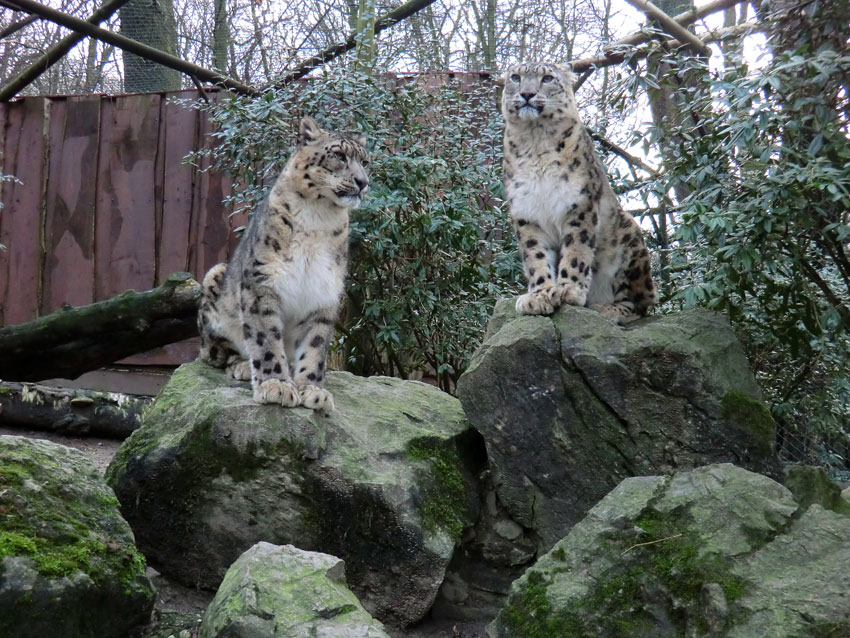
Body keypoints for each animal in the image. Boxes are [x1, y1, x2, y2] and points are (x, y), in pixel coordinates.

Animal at [199, 117, 372, 412]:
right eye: (339, 155)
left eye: (365, 161)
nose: (363, 182)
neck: (319, 218)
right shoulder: (262, 282)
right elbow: (266, 338)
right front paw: (276, 386)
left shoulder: (324, 291)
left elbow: (315, 346)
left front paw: (313, 390)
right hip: (214, 283)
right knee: (217, 351)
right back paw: (243, 365)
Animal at [500, 62, 652, 322]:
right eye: (516, 77)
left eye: (547, 78)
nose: (527, 93)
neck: (535, 141)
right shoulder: (526, 213)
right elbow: (535, 255)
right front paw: (539, 295)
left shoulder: (578, 204)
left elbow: (577, 249)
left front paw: (567, 290)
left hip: (629, 241)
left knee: (639, 304)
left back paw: (605, 308)